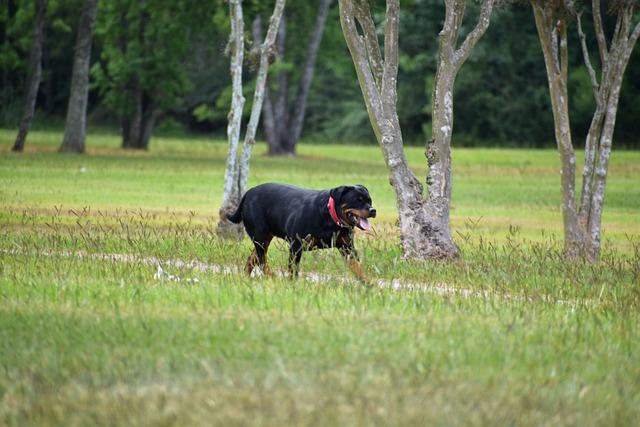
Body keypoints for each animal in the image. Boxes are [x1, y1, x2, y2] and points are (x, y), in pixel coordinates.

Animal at [226, 183, 376, 280]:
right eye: (358, 200)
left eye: (369, 201)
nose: (373, 210)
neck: (331, 218)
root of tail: (248, 193)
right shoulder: (296, 246)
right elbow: (293, 271)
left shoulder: (348, 248)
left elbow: (360, 270)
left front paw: (370, 287)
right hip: (260, 236)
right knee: (262, 261)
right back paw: (271, 277)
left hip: (265, 237)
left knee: (253, 258)